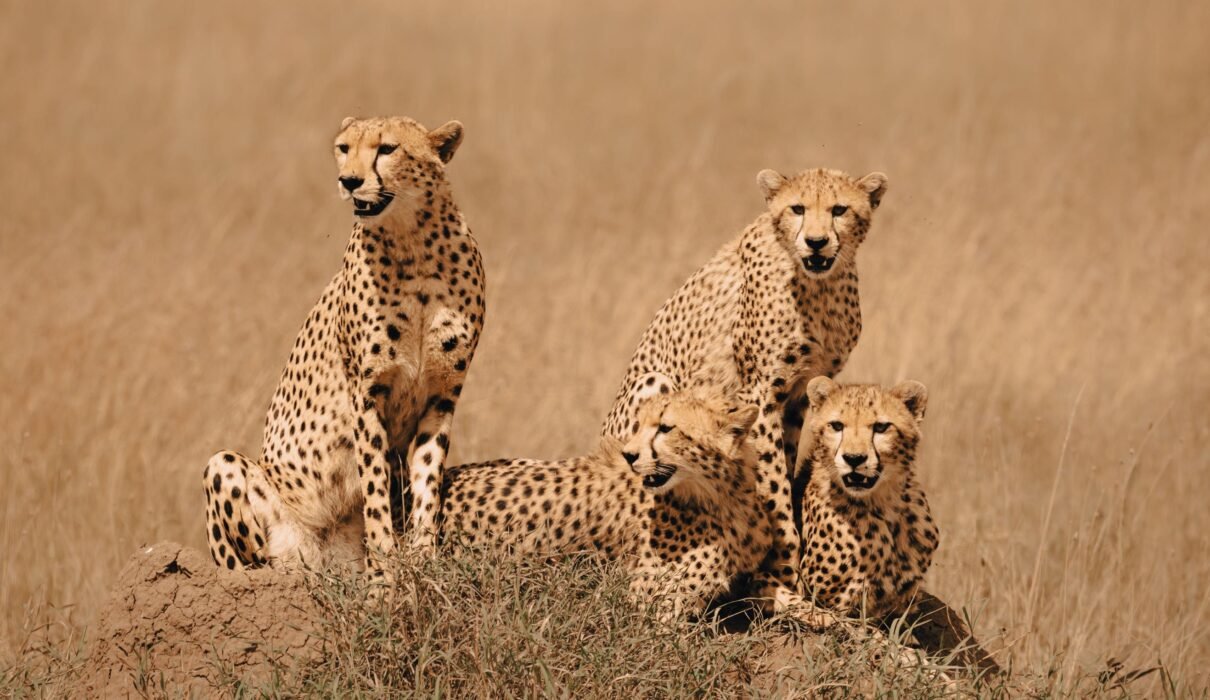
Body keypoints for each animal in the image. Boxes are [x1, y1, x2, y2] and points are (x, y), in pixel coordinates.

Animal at [203, 115, 485, 577]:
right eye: (342, 148)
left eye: (387, 149)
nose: (349, 181)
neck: (413, 241)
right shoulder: (366, 393)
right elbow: (373, 483)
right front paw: (385, 566)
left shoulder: (442, 394)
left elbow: (427, 477)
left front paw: (422, 556)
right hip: (229, 474)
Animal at [601, 167, 889, 620]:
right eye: (797, 208)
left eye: (840, 209)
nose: (816, 241)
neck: (817, 284)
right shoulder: (761, 393)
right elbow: (774, 487)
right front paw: (784, 572)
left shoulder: (799, 397)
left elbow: (785, 468)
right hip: (656, 383)